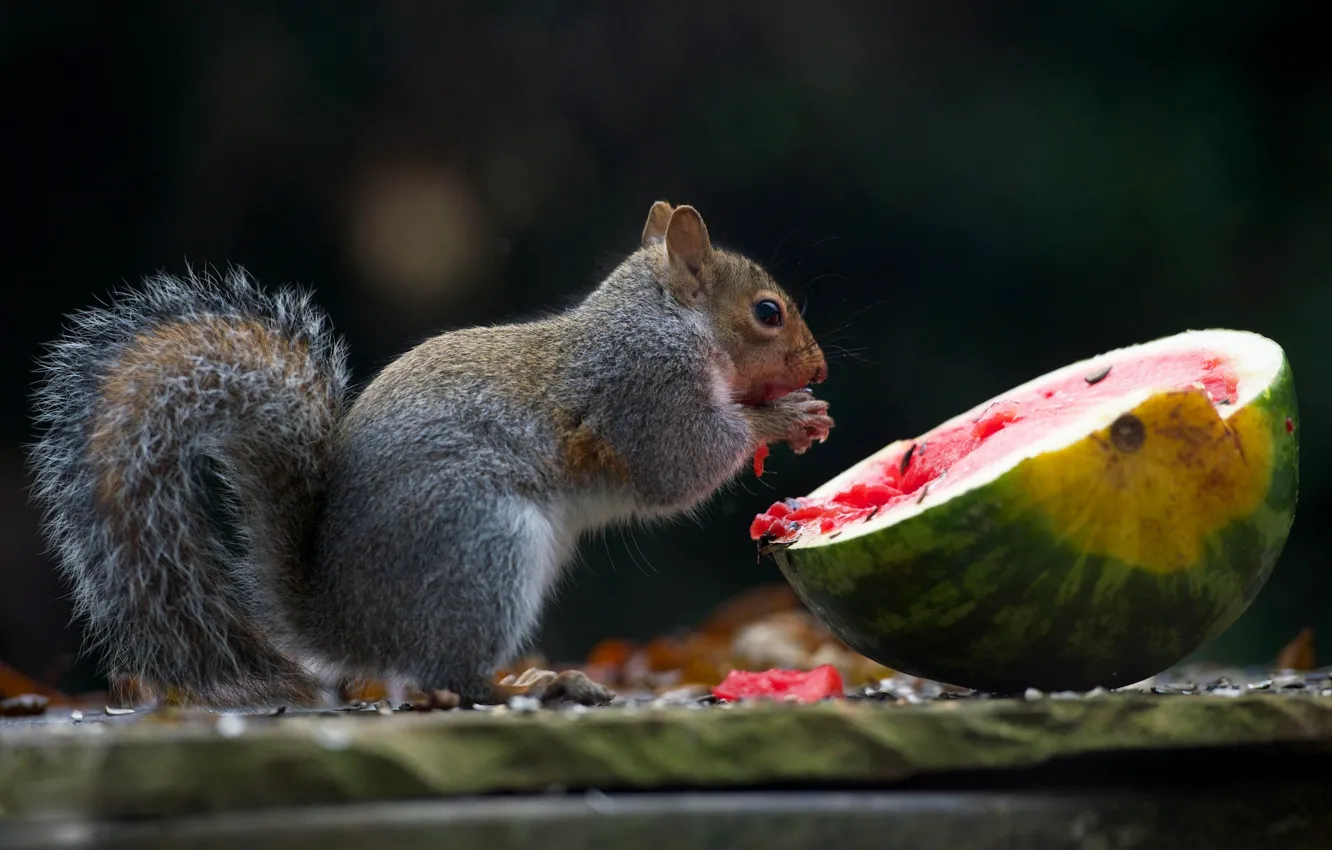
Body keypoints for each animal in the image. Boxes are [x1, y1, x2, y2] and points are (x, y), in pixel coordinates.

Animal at [28, 201, 831, 714]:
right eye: (768, 312)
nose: (819, 368)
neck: (665, 319)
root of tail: (345, 623)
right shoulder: (644, 389)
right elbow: (681, 463)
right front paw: (780, 418)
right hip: (483, 547)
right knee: (451, 678)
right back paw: (530, 687)